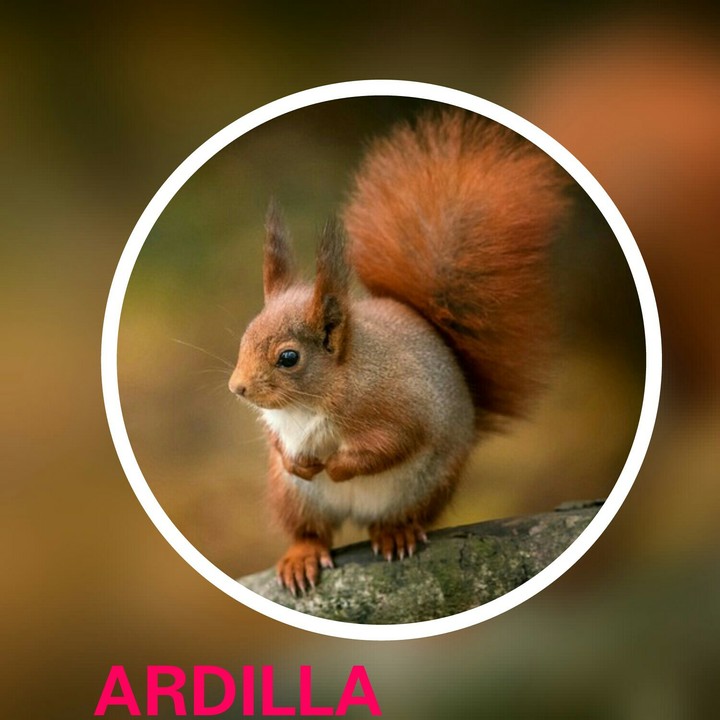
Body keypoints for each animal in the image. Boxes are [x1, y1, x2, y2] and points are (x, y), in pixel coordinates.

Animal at [228, 110, 569, 593]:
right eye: (244, 336)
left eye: (288, 358)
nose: (237, 388)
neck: (317, 397)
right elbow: (279, 445)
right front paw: (296, 460)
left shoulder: (400, 404)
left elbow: (391, 444)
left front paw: (336, 466)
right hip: (292, 498)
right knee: (310, 531)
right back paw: (302, 555)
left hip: (426, 487)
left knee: (395, 516)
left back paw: (395, 533)